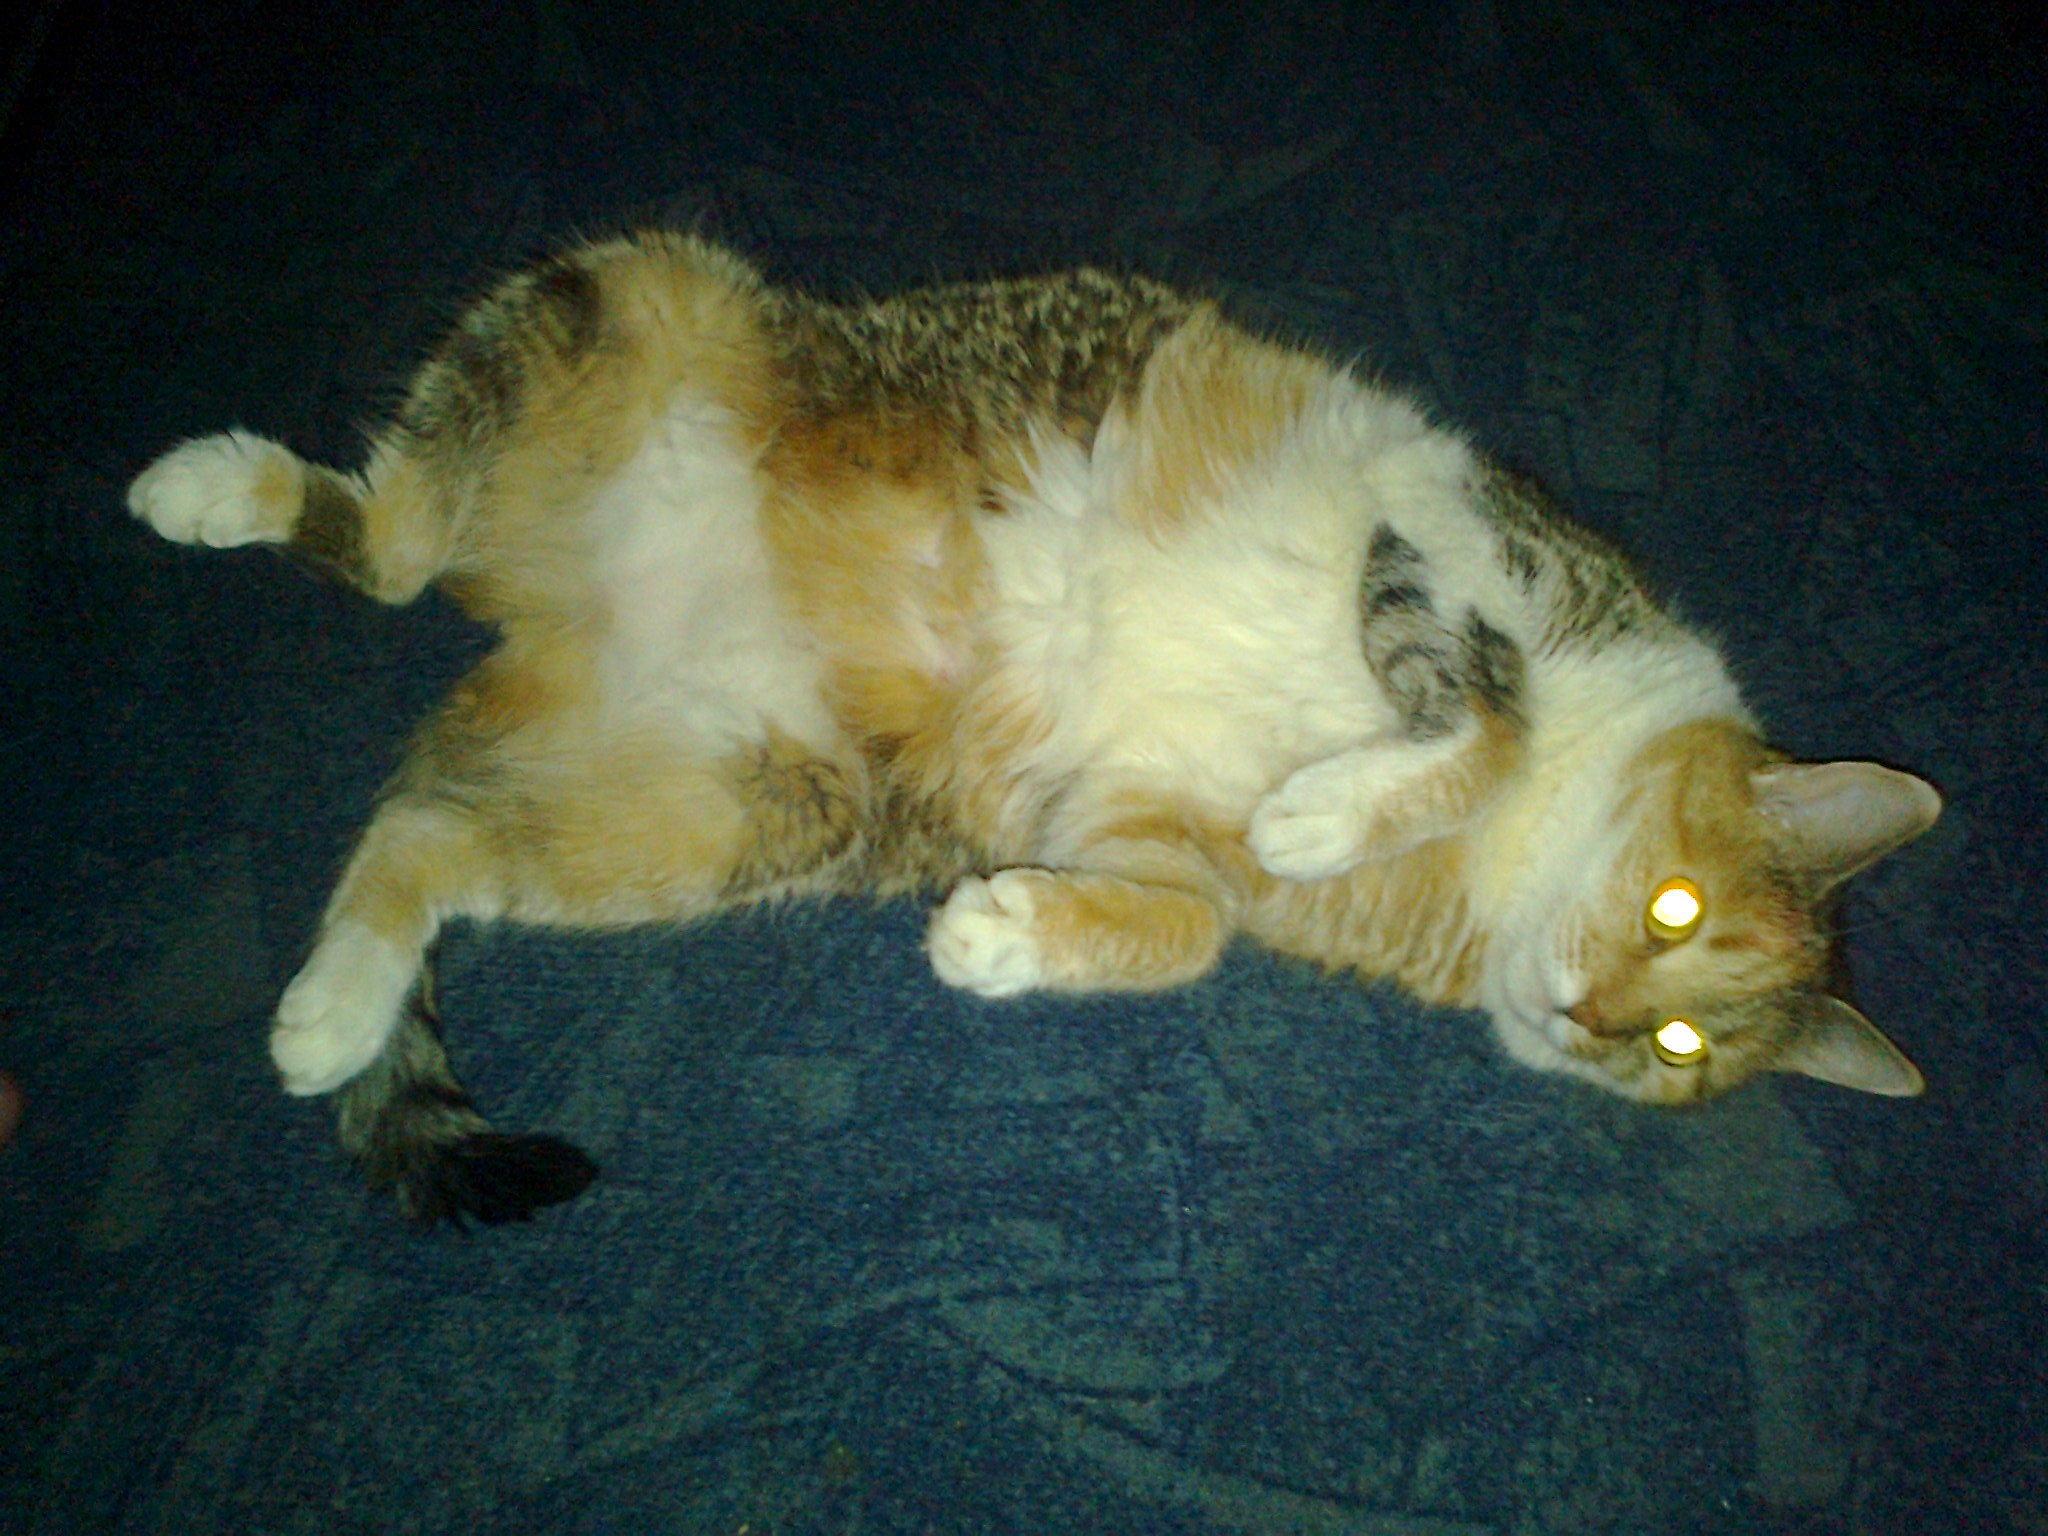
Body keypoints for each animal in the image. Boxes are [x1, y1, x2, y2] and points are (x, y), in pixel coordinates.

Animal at [127, 231, 1942, 1224]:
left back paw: (332, 1013)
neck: (1509, 863)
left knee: (426, 822)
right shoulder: (1454, 543)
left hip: (718, 807)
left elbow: (1185, 930)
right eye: (1675, 908)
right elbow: (1480, 703)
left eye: (1679, 1051)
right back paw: (210, 485)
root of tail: (553, 607)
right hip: (632, 296)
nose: (1588, 1016)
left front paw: (1009, 936)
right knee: (388, 539)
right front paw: (1333, 799)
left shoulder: (1138, 826)